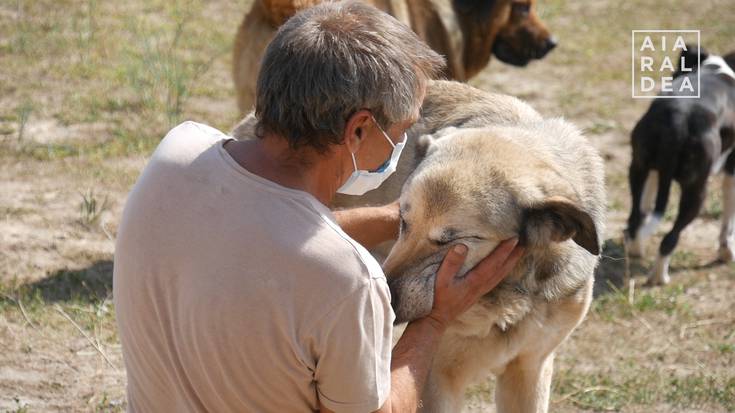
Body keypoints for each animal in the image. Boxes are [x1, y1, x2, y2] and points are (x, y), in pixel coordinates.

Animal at [628, 45, 735, 284]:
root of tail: (678, 118)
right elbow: (728, 221)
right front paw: (726, 251)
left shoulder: (654, 173)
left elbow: (646, 205)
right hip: (697, 192)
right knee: (670, 237)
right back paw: (659, 277)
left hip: (637, 168)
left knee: (635, 220)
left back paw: (636, 250)